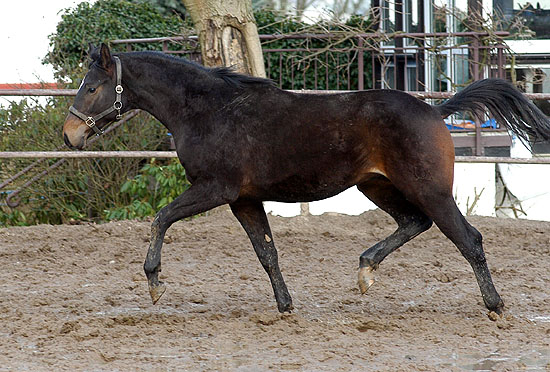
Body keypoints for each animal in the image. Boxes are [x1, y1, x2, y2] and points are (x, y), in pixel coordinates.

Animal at [62, 44, 550, 316]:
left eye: (91, 87)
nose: (69, 135)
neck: (210, 111)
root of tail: (435, 110)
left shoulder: (215, 189)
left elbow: (161, 218)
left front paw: (154, 283)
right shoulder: (243, 199)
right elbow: (266, 253)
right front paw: (285, 306)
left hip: (429, 189)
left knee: (468, 239)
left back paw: (495, 306)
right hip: (376, 186)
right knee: (415, 223)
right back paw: (365, 270)